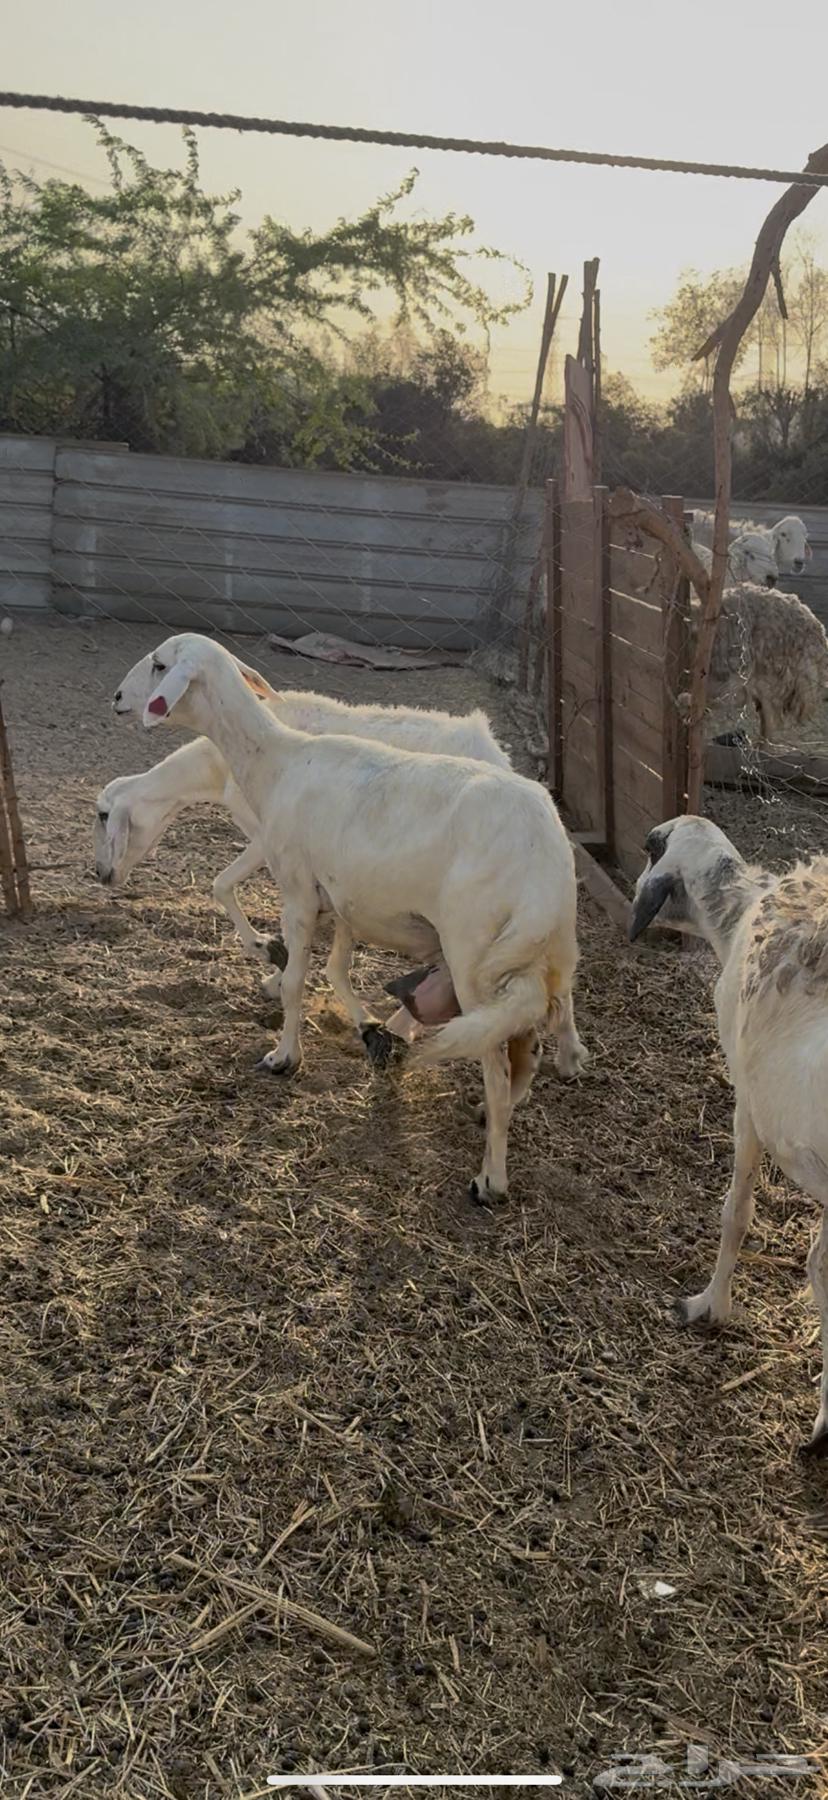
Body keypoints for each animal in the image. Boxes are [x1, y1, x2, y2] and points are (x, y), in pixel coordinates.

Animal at [116, 631, 587, 1202]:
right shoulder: (341, 901)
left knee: (498, 1068)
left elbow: (296, 981)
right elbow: (336, 968)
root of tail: (546, 870)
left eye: (161, 665)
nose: (117, 699)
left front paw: (284, 1056)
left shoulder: (298, 890)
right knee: (530, 1049)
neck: (276, 762)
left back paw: (490, 1178)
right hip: (547, 962)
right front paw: (369, 1030)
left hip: (477, 960)